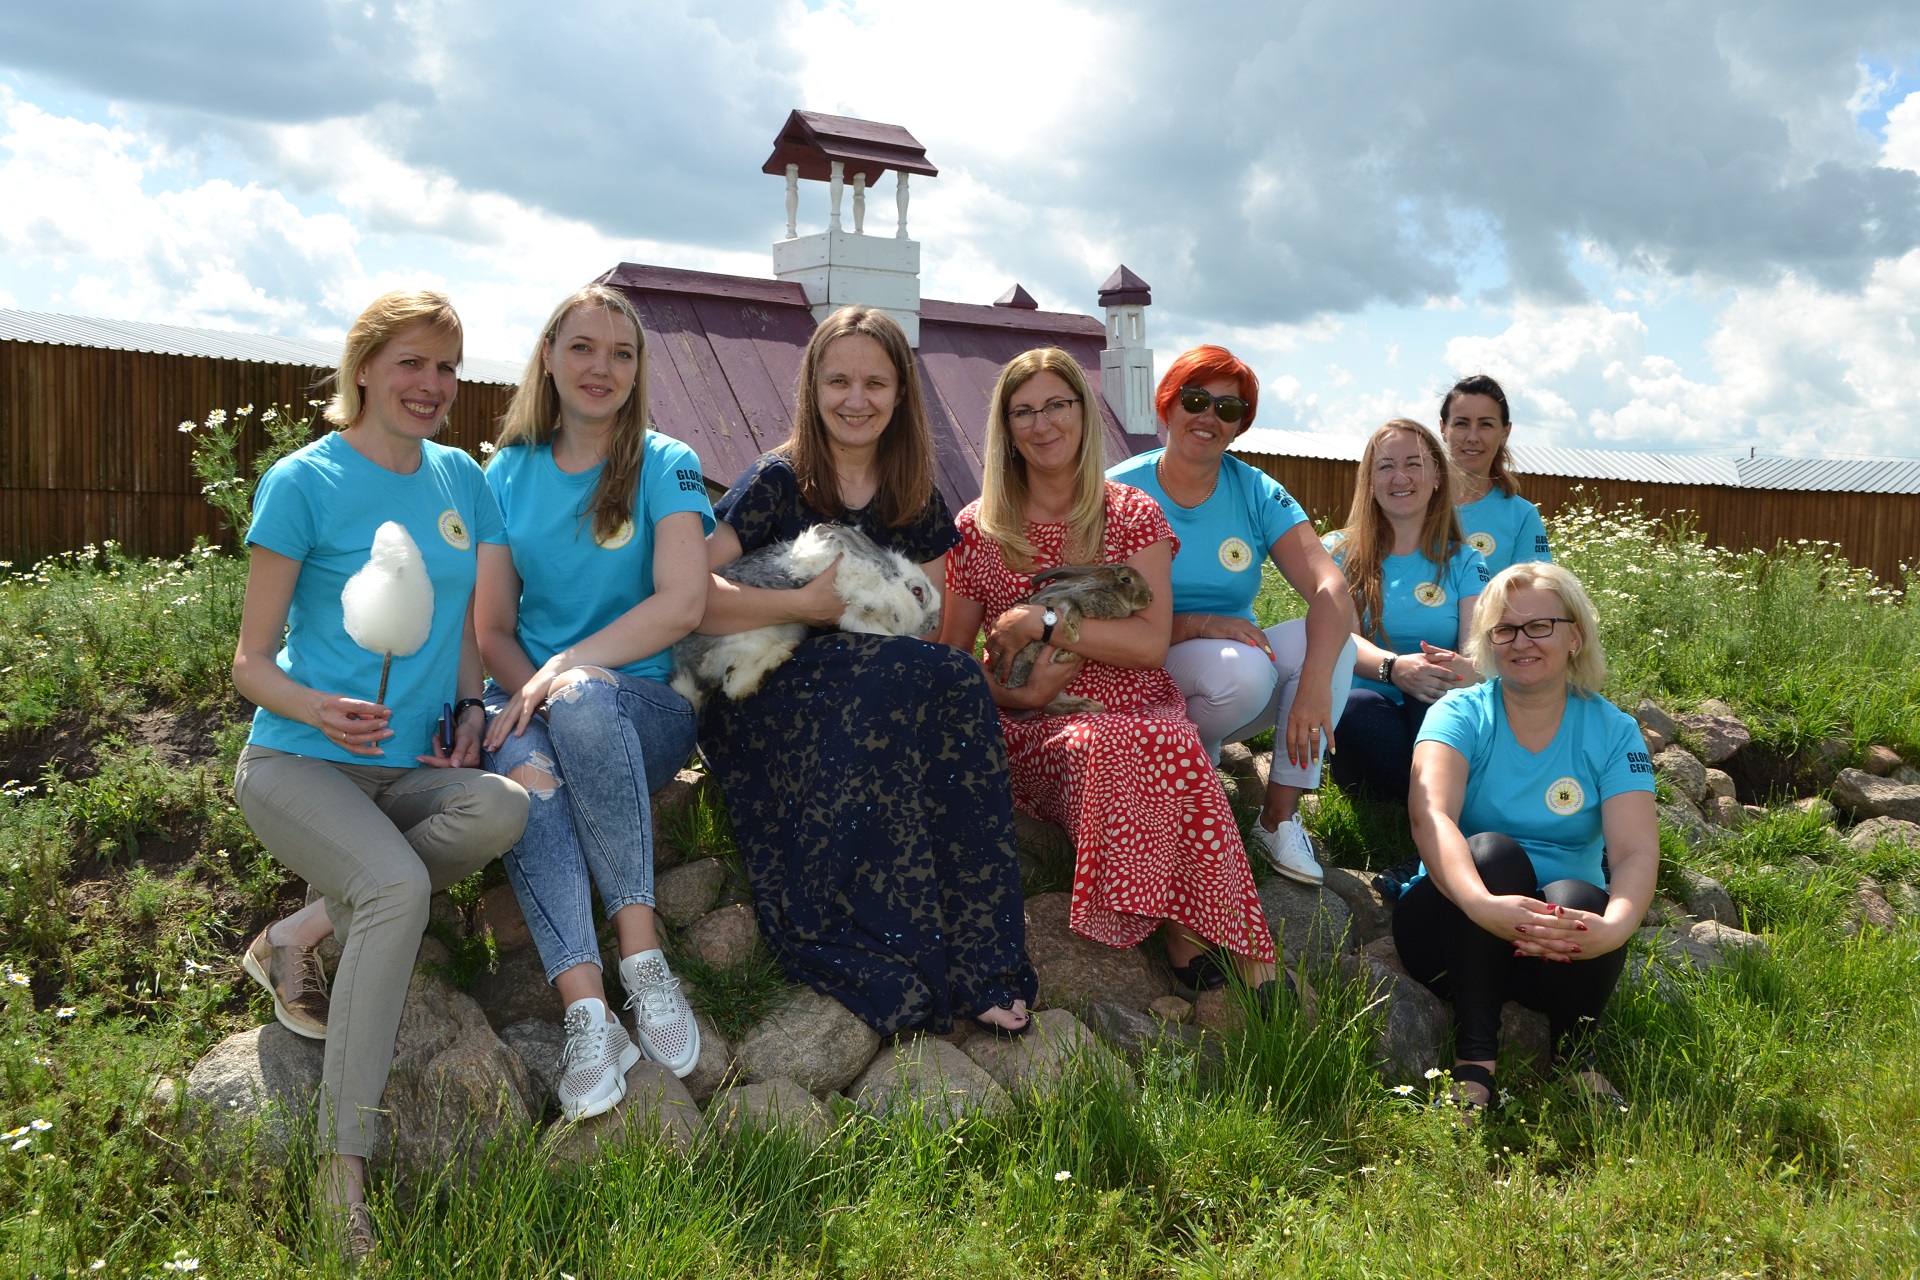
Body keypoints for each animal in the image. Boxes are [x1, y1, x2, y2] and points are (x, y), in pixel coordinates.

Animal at [672, 525, 940, 717]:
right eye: (918, 592)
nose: (935, 625)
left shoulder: (854, 618)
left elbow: (875, 624)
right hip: (745, 639)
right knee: (732, 685)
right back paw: (777, 657)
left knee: (735, 682)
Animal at [1006, 564, 1152, 717]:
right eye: (1126, 579)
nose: (1150, 598)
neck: (1107, 591)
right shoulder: (1073, 601)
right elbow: (1073, 608)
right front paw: (1071, 635)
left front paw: (1067, 650)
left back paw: (1092, 705)